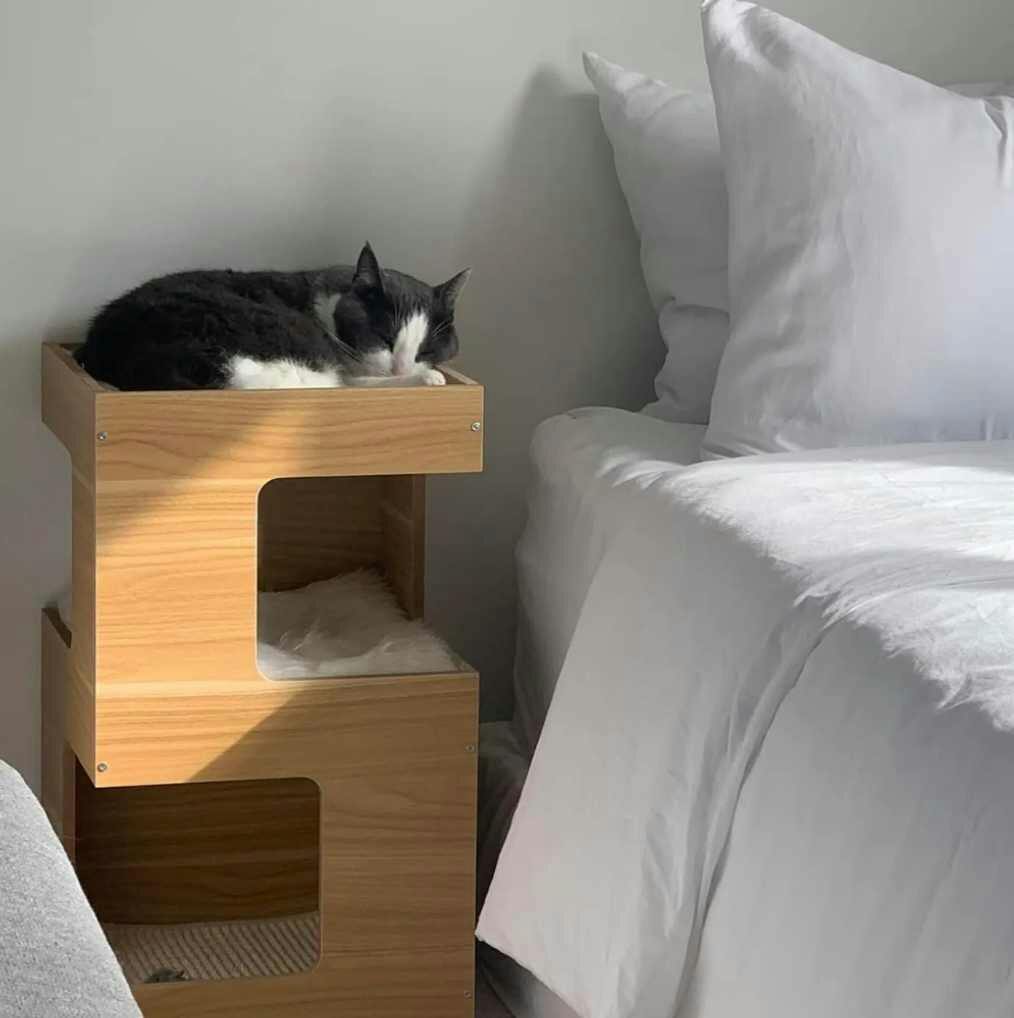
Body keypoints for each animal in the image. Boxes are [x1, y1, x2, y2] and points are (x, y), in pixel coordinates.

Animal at [74, 243, 470, 391]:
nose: (402, 367)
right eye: (384, 337)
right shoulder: (346, 368)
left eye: (425, 349)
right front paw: (428, 378)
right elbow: (360, 383)